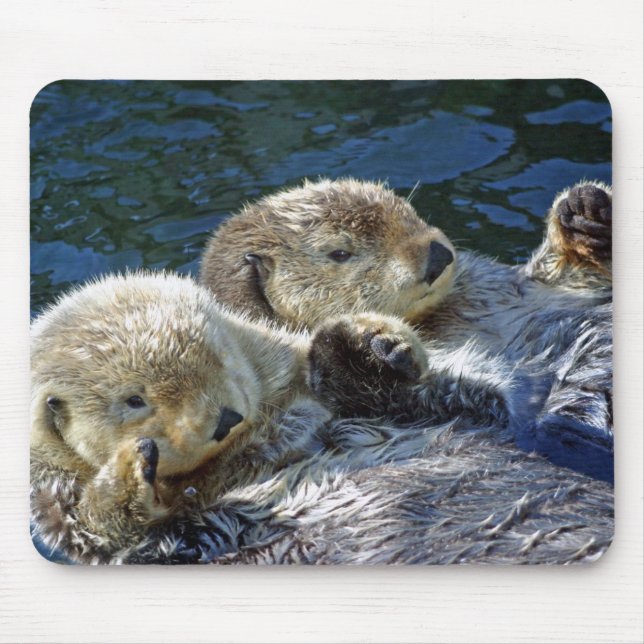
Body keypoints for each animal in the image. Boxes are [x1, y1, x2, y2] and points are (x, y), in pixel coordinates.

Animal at [199, 179, 613, 481]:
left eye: (408, 213)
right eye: (339, 253)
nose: (438, 255)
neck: (438, 319)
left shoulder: (504, 288)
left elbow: (566, 280)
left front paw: (583, 214)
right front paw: (366, 350)